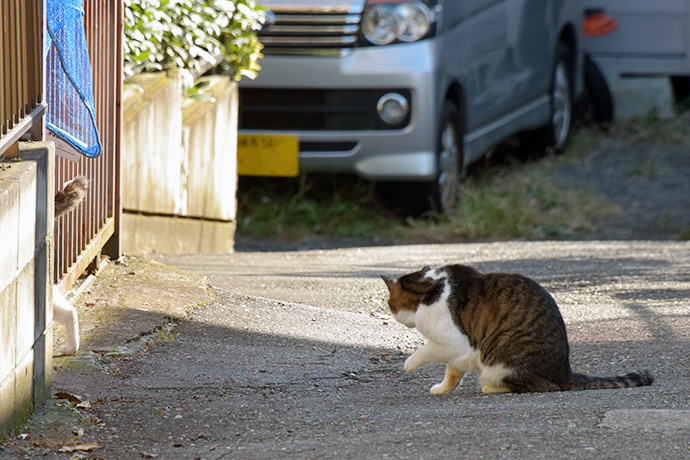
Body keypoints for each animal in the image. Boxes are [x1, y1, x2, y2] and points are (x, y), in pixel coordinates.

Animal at [378, 264, 652, 394]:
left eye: (391, 305)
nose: (391, 313)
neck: (430, 287)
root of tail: (564, 371)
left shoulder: (452, 342)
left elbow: (424, 352)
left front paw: (408, 364)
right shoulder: (462, 353)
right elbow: (453, 373)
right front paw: (443, 389)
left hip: (498, 361)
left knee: (542, 386)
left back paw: (491, 387)